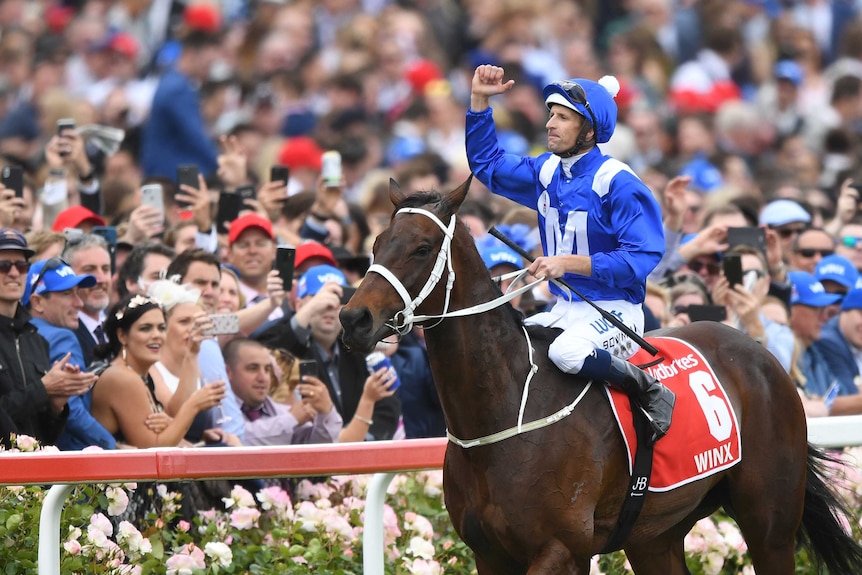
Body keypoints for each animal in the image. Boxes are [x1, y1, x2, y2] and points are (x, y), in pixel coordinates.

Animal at [340, 178, 862, 572]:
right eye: (376, 244)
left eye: (422, 247)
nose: (354, 319)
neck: (502, 414)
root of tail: (762, 354)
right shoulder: (490, 555)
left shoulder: (562, 551)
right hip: (655, 535)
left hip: (769, 522)